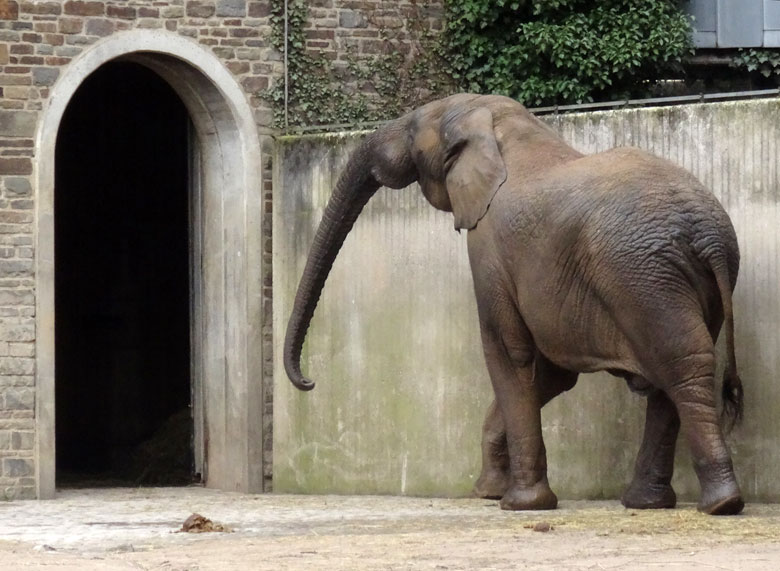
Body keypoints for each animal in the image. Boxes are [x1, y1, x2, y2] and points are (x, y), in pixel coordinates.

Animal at [284, 95, 744, 520]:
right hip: (676, 282)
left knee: (681, 367)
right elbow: (552, 375)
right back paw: (651, 503)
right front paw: (487, 493)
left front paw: (520, 504)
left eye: (413, 130)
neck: (498, 121)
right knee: (675, 374)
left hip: (643, 277)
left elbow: (507, 351)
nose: (308, 382)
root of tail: (708, 236)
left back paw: (720, 504)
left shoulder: (488, 247)